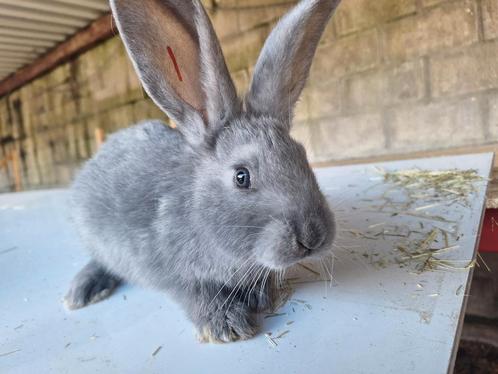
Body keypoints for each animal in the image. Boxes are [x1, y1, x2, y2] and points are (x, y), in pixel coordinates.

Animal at [63, 0, 342, 344]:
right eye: (241, 176)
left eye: (302, 156)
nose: (312, 236)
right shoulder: (170, 270)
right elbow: (195, 294)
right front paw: (226, 325)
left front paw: (259, 297)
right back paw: (83, 291)